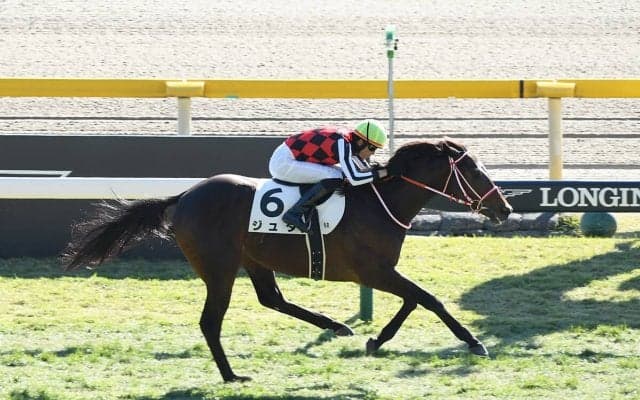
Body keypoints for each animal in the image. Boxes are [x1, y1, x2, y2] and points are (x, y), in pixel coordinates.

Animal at [63, 138, 513, 382]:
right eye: (475, 171)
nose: (504, 208)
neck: (380, 201)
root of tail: (184, 196)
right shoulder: (372, 269)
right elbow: (427, 299)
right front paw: (474, 342)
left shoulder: (380, 271)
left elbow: (412, 300)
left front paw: (375, 339)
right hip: (219, 267)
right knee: (211, 321)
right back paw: (231, 375)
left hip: (253, 258)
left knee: (272, 299)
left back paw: (334, 326)